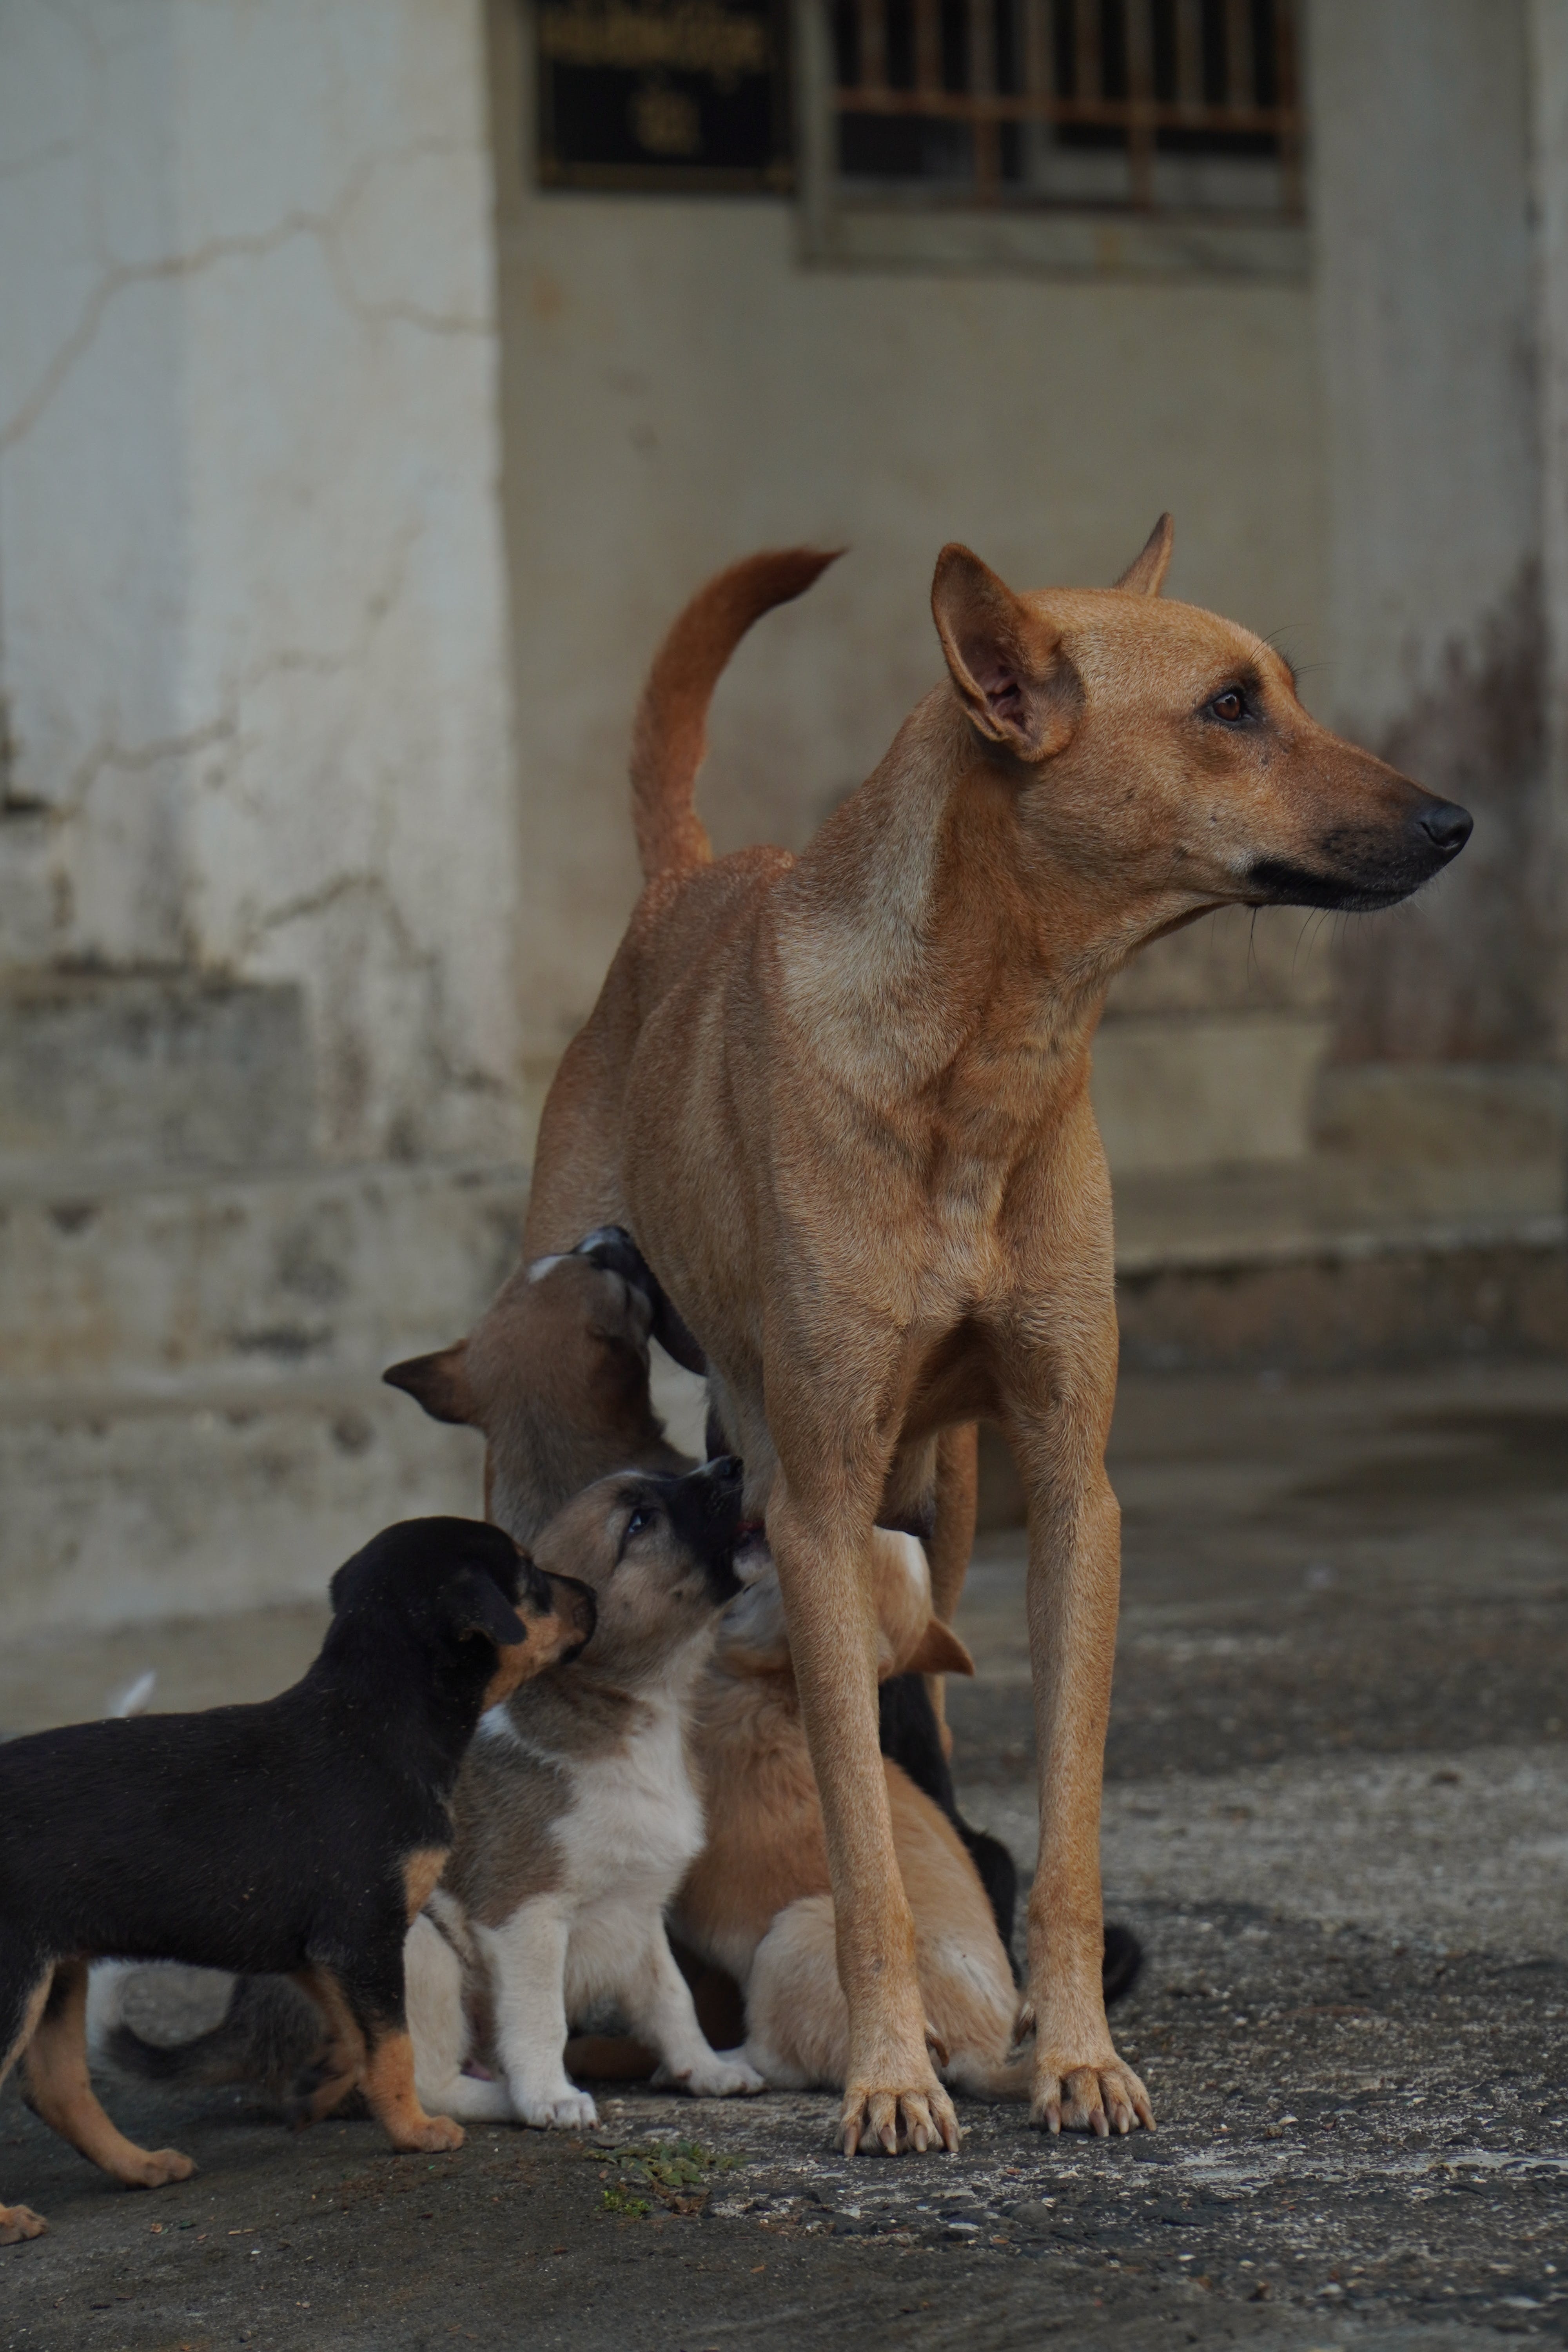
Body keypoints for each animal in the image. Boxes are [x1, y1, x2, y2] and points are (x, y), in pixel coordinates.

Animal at [0, 1505, 595, 2239]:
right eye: (532, 1577)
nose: (593, 1595)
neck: (376, 1720)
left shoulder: (319, 1953)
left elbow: (357, 2037)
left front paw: (327, 2086)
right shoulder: (364, 1934)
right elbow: (395, 2047)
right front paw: (416, 2131)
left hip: (56, 1974)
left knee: (57, 2088)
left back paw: (141, 2166)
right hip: (14, 1979)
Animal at [522, 529, 1476, 2154]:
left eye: (1279, 686)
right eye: (1230, 708)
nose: (1456, 819)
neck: (984, 1052)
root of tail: (685, 878)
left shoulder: (1067, 1492)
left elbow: (1066, 1831)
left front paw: (1074, 2053)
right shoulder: (818, 1519)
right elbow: (860, 1849)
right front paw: (889, 2073)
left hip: (944, 1491)